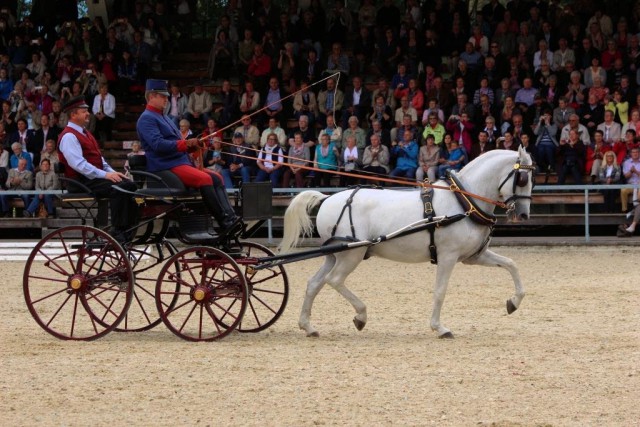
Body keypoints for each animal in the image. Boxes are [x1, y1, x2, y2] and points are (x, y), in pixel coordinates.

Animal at [280, 149, 536, 340]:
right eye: (522, 179)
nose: (523, 214)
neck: (463, 201)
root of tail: (328, 198)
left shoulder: (474, 257)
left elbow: (511, 264)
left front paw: (513, 302)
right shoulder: (448, 256)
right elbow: (440, 291)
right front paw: (439, 328)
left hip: (334, 255)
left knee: (315, 283)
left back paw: (308, 326)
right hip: (352, 255)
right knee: (334, 280)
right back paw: (361, 316)